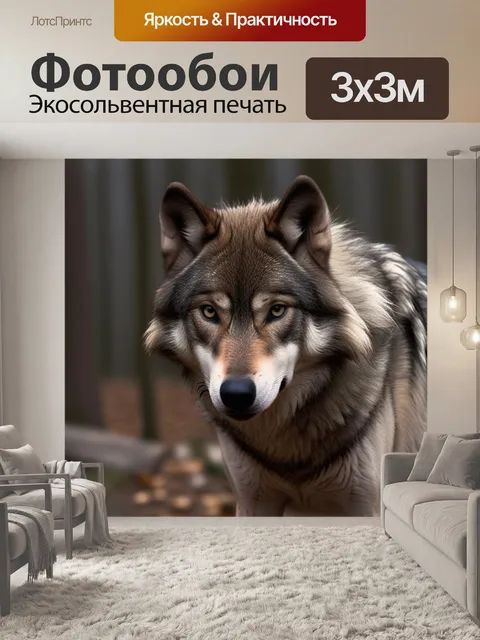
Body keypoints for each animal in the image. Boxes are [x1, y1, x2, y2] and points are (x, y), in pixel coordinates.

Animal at [145, 176, 427, 517]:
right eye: (209, 312)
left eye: (277, 310)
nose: (236, 394)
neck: (287, 445)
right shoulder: (253, 503)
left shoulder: (366, 505)